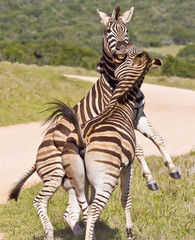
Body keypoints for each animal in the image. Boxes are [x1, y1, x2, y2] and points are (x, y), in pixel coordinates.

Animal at [55, 49, 162, 239]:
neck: (118, 105)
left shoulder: (90, 181)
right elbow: (126, 199)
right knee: (93, 210)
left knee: (86, 210)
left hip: (77, 180)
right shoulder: (128, 166)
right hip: (106, 179)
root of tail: (83, 140)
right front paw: (130, 231)